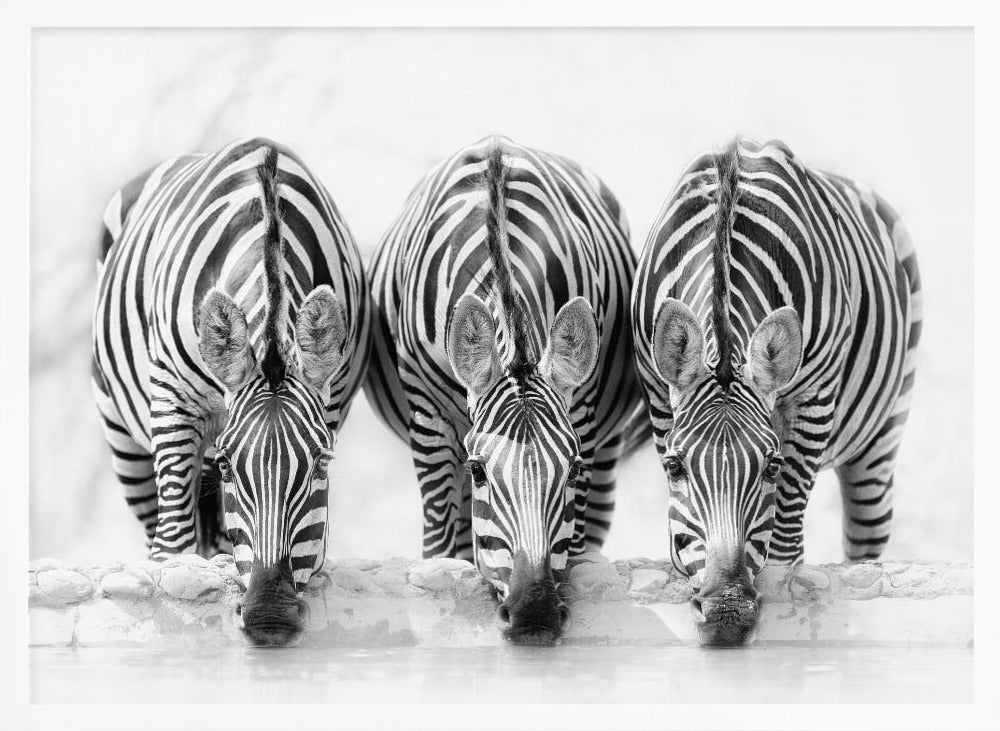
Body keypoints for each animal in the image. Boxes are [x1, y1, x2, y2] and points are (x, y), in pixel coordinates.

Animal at [91, 137, 370, 646]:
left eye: (322, 464)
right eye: (227, 466)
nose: (269, 617)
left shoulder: (332, 400)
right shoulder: (172, 400)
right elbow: (172, 548)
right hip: (123, 437)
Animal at [364, 136, 650, 645]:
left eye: (573, 469)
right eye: (479, 471)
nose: (534, 615)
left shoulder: (583, 414)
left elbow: (574, 541)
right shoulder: (429, 418)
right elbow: (441, 543)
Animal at [631, 137, 921, 646]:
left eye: (770, 466)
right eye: (673, 466)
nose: (726, 613)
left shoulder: (814, 399)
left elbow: (786, 521)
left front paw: (783, 593)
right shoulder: (657, 391)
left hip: (882, 438)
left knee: (865, 540)